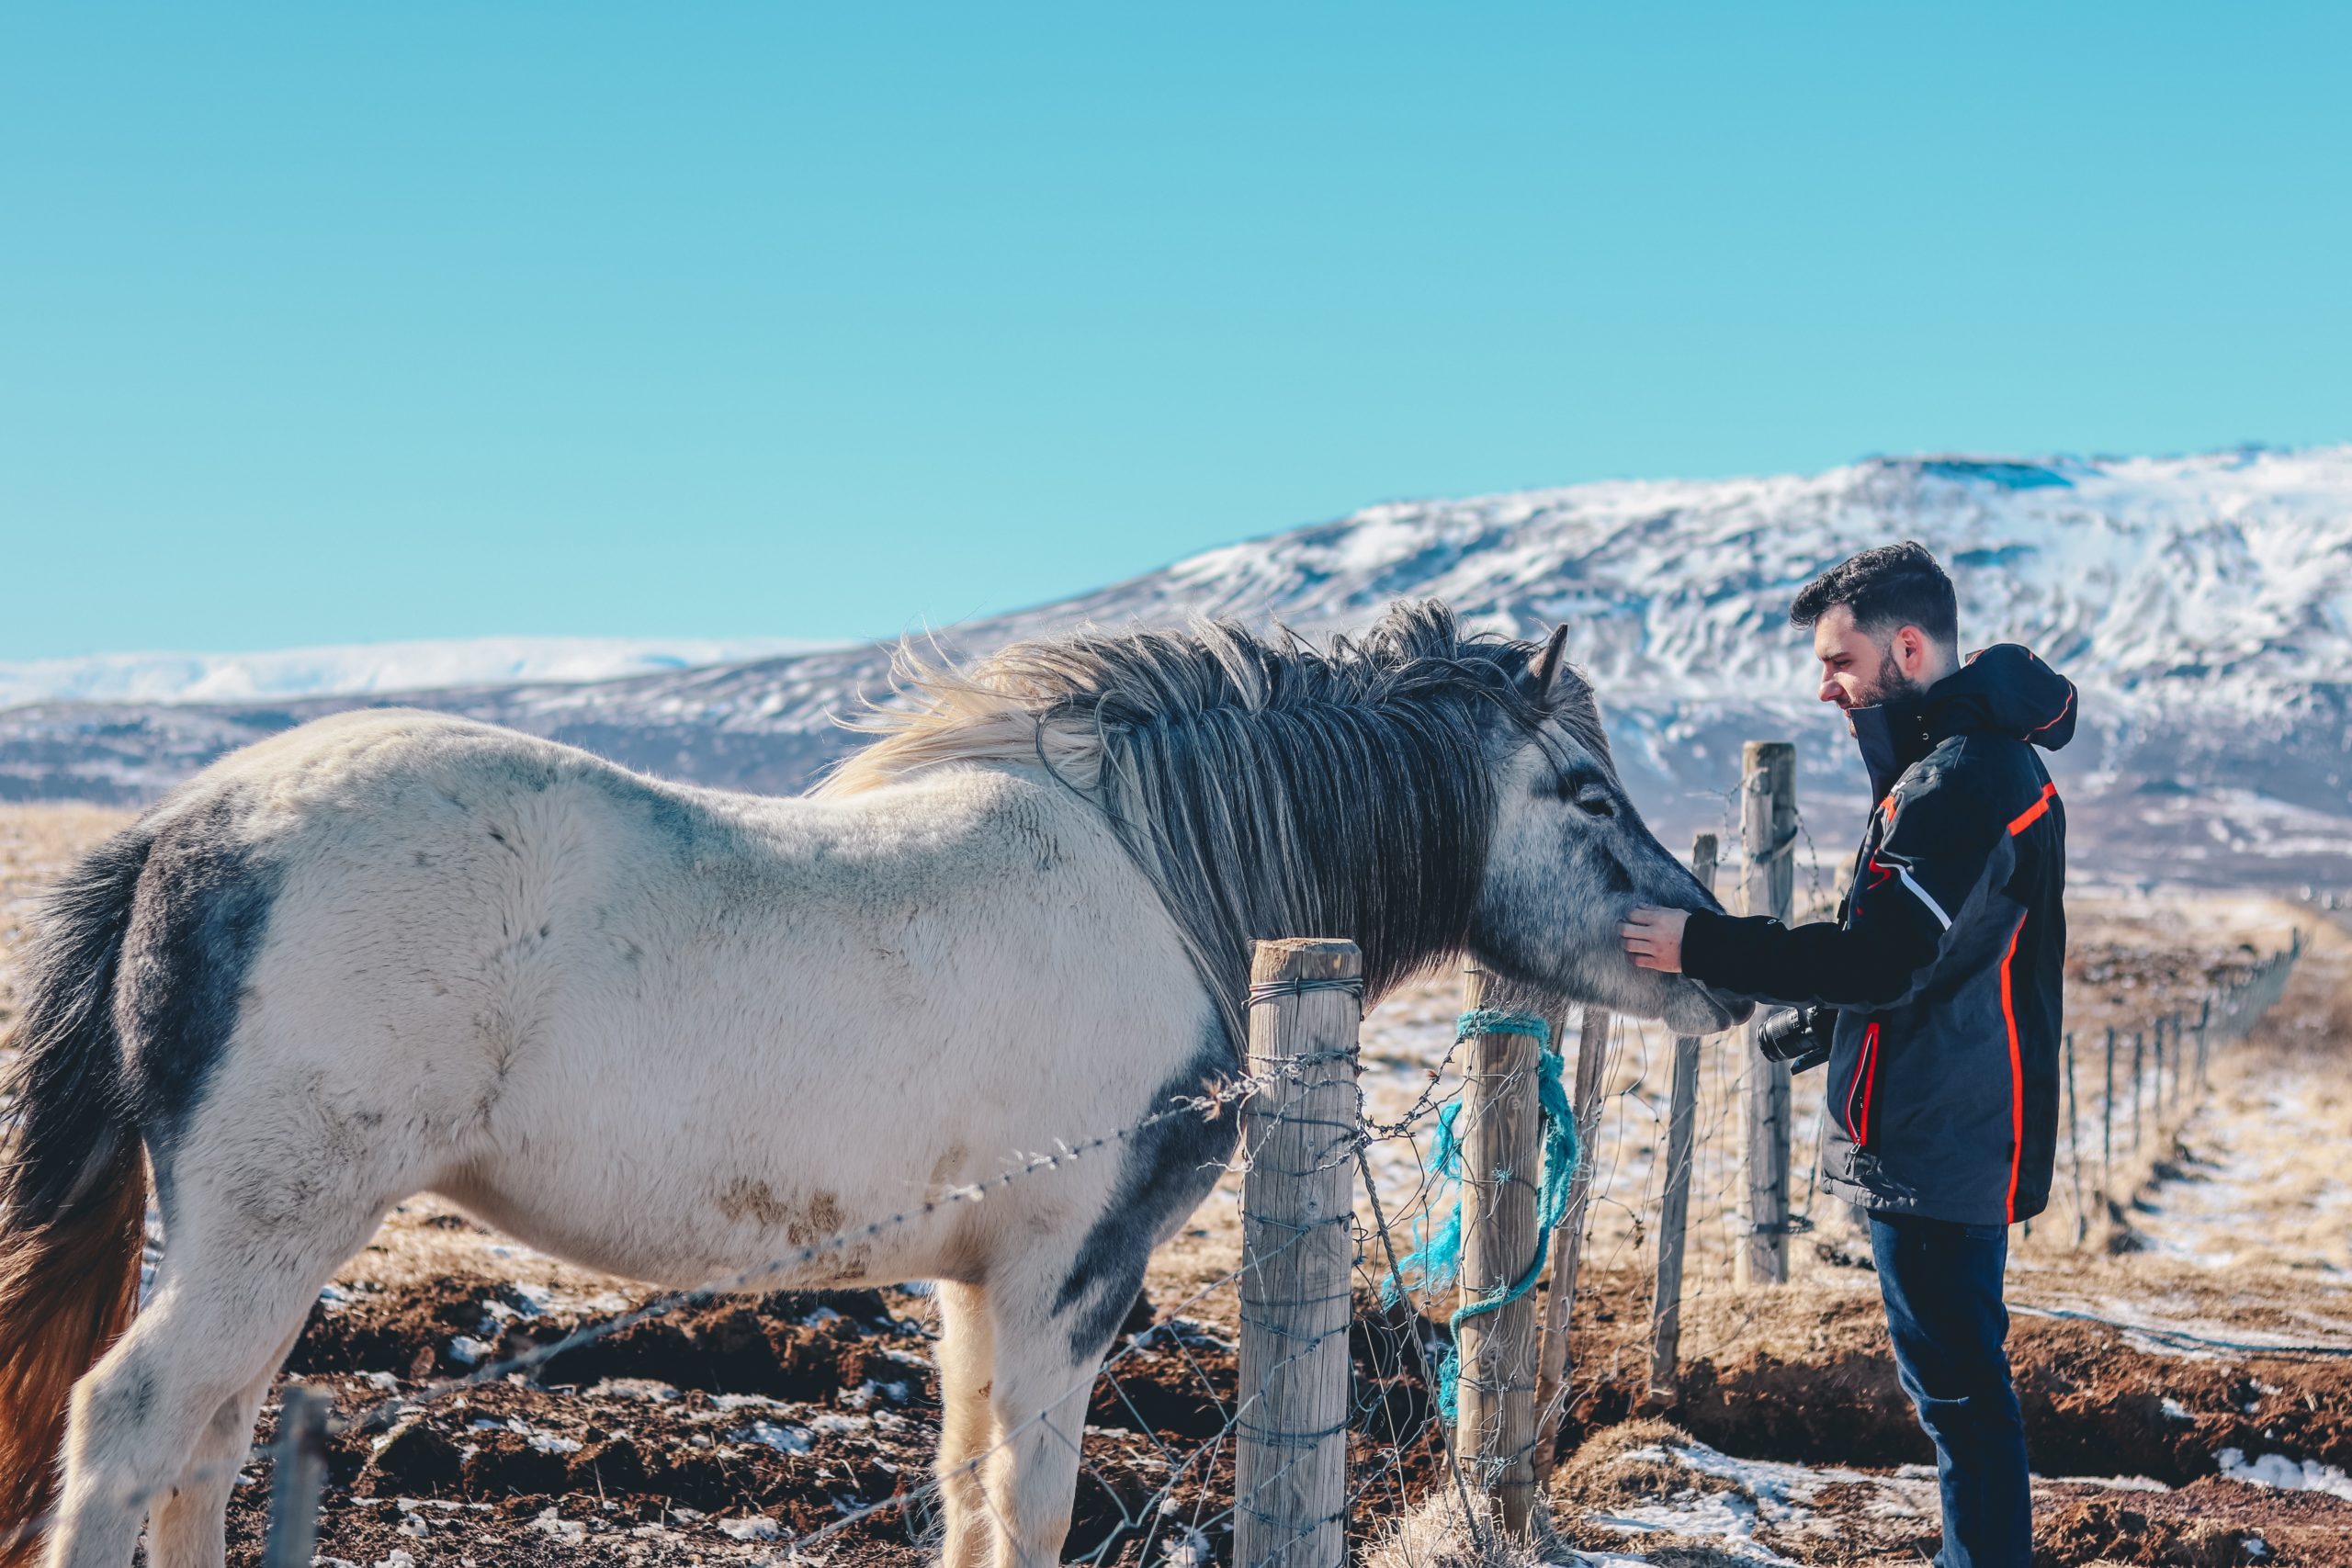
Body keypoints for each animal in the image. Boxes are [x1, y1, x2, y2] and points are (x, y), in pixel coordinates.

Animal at [5, 606, 1749, 1568]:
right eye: (1587, 794)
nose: (1721, 964)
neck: (1157, 873)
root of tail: (184, 829)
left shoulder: (981, 1281)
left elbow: (970, 1483)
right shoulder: (1068, 1273)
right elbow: (1029, 1498)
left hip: (269, 1238)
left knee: (207, 1443)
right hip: (268, 1225)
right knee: (131, 1419)